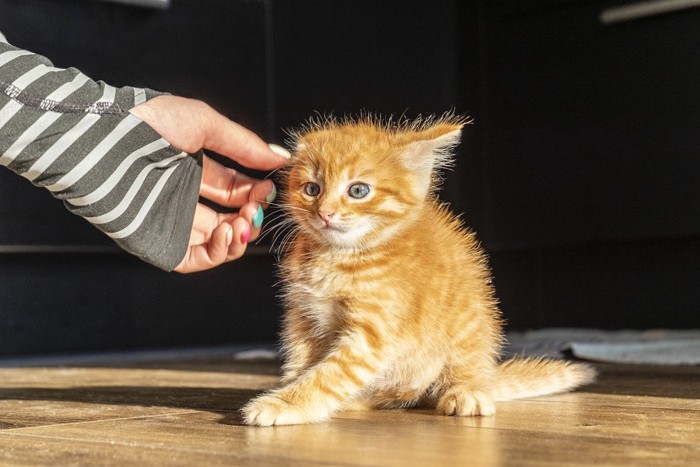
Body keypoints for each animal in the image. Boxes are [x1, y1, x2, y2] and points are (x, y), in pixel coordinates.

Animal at [242, 114, 596, 428]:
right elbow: (302, 364)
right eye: (312, 189)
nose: (324, 213)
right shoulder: (303, 318)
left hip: (470, 326)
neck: (339, 257)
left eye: (358, 190)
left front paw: (287, 403)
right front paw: (289, 392)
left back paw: (468, 391)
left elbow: (331, 374)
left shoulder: (374, 331)